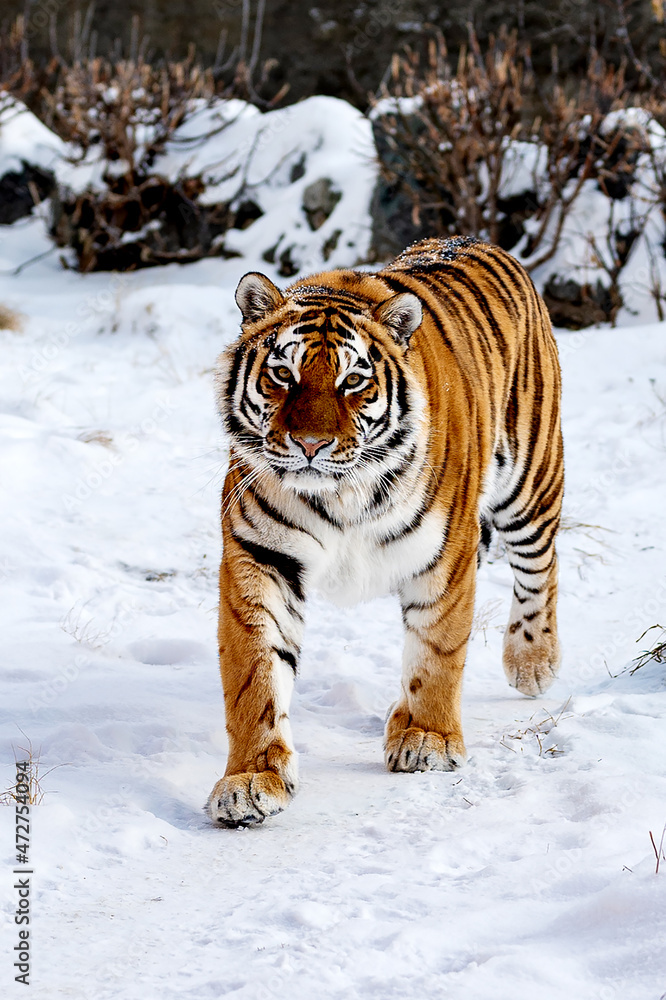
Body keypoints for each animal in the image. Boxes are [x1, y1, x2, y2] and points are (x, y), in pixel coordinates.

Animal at [206, 236, 563, 828]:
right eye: (283, 375)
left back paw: (532, 662)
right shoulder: (261, 558)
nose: (310, 444)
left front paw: (428, 740)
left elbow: (438, 650)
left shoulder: (446, 553)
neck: (340, 495)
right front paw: (250, 781)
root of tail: (479, 240)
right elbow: (254, 675)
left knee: (541, 566)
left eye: (353, 381)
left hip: (530, 482)